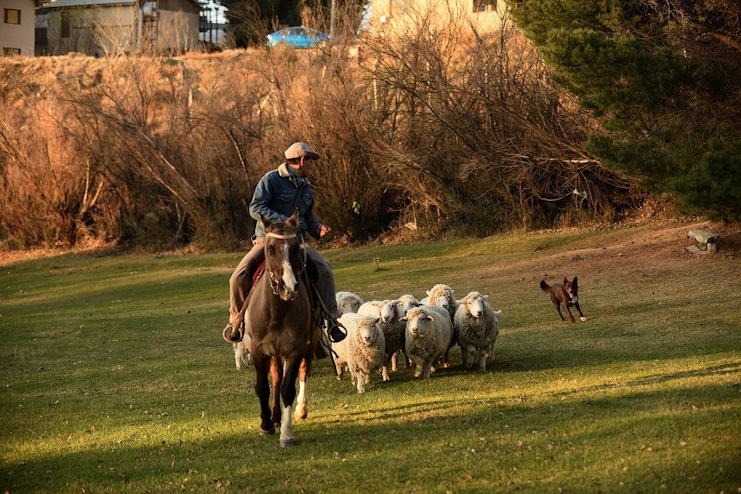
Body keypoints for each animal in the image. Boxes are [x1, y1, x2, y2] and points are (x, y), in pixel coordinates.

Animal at [243, 209, 318, 448]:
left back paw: (300, 410)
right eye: (270, 248)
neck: (277, 311)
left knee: (302, 372)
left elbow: (287, 388)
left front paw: (287, 434)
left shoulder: (295, 349)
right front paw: (266, 424)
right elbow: (263, 387)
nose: (289, 287)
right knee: (275, 377)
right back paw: (274, 417)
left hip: (308, 343)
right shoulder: (258, 350)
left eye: (296, 248)